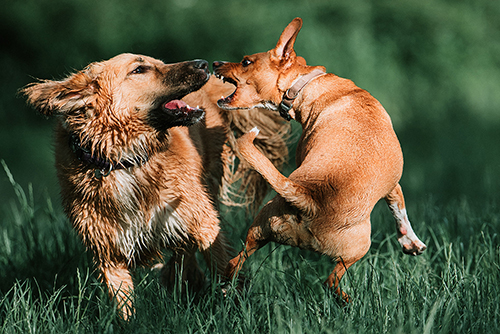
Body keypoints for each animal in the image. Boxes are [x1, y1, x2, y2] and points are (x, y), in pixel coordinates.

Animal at [22, 53, 290, 318]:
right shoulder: (109, 254)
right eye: (139, 69)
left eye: (159, 62)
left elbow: (223, 267)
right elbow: (124, 308)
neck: (124, 161)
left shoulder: (204, 223)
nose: (204, 64)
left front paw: (234, 308)